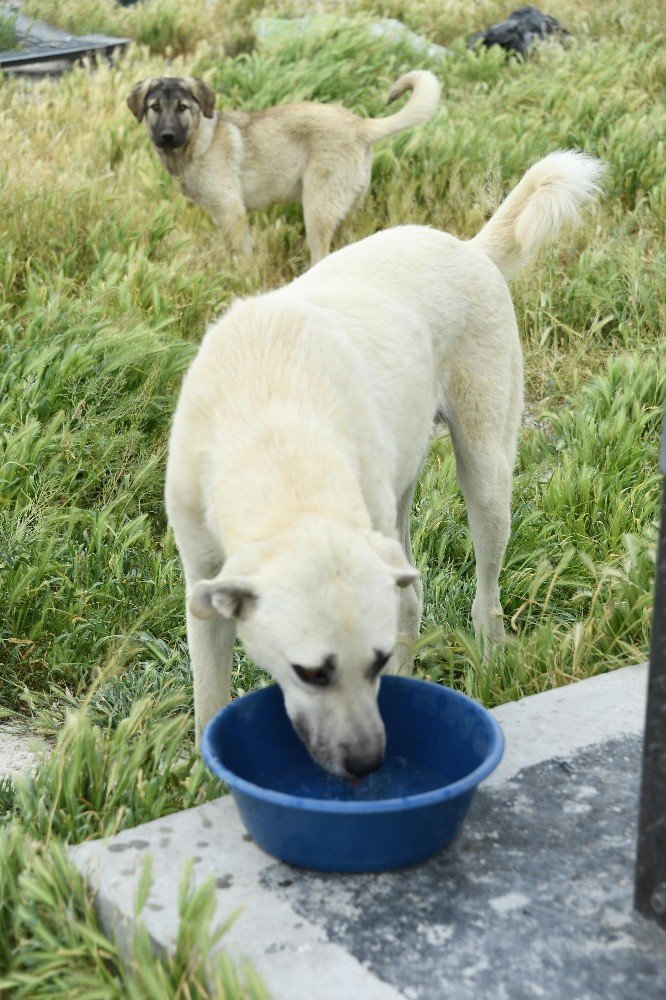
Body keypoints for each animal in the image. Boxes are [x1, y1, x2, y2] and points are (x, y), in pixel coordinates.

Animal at [126, 73, 438, 262]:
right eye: (155, 107)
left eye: (182, 107)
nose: (167, 136)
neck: (199, 141)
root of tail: (358, 124)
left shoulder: (231, 211)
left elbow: (242, 257)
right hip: (345, 211)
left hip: (317, 210)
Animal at [163, 150, 600, 772]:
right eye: (309, 673)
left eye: (370, 664)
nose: (367, 763)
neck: (276, 438)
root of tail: (470, 248)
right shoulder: (204, 583)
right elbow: (207, 705)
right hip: (397, 495)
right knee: (413, 596)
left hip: (485, 474)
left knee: (482, 595)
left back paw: (491, 659)